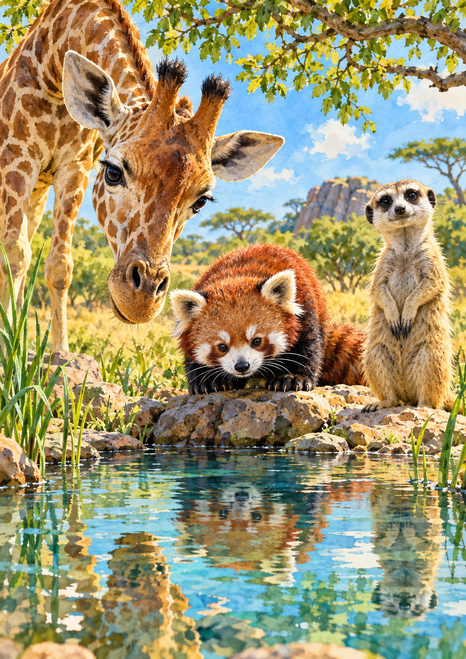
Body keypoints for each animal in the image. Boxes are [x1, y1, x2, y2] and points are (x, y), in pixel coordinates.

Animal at [0, 0, 284, 351]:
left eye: (201, 201)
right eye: (113, 172)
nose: (142, 300)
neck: (53, 60)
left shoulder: (74, 166)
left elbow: (58, 265)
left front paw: (59, 352)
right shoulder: (16, 154)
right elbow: (13, 255)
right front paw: (6, 354)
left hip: (38, 193)